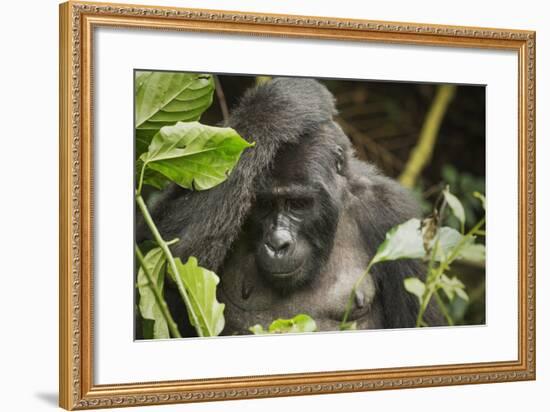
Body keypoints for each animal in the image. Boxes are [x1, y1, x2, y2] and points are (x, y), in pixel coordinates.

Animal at [139, 76, 444, 334]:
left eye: (298, 204)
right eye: (263, 205)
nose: (277, 243)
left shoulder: (395, 214)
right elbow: (166, 254)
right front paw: (279, 107)